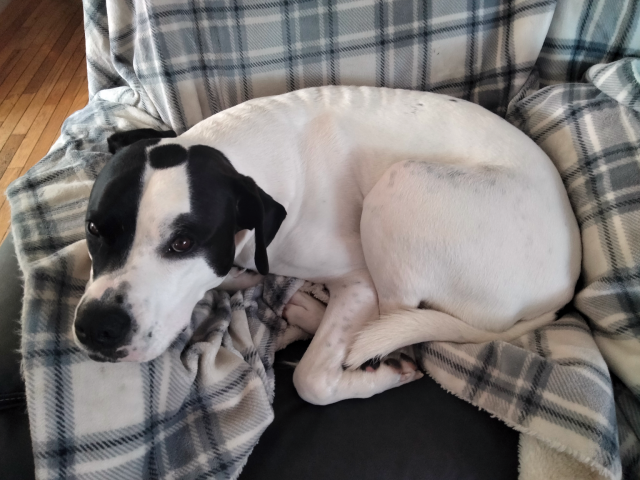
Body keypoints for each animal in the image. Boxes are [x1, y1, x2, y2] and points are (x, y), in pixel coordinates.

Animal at [74, 85, 580, 404]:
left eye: (183, 242)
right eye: (94, 228)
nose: (98, 328)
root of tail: (562, 290)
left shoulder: (357, 278)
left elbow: (312, 378)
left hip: (401, 184)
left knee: (395, 322)